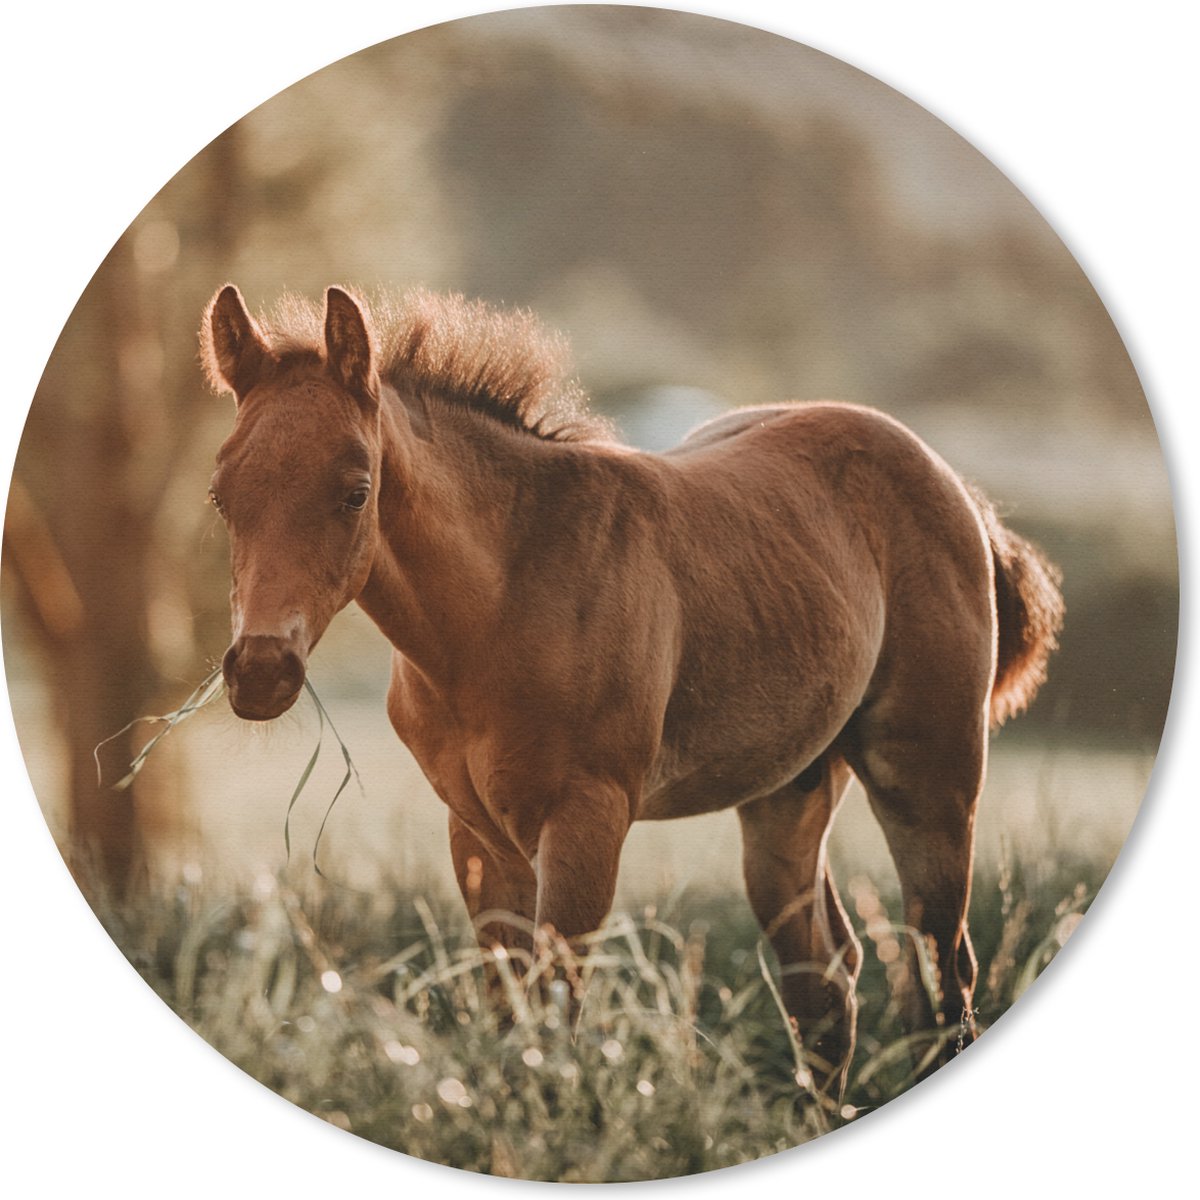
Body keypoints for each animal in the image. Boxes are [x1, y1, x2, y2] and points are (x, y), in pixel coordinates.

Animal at [201, 283, 1063, 1092]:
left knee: (942, 978)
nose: (261, 671)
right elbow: (511, 1017)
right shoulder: (477, 834)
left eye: (356, 490)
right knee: (825, 988)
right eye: (221, 496)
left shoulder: (589, 816)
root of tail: (956, 487)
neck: (507, 595)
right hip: (788, 791)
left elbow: (555, 1018)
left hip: (929, 779)